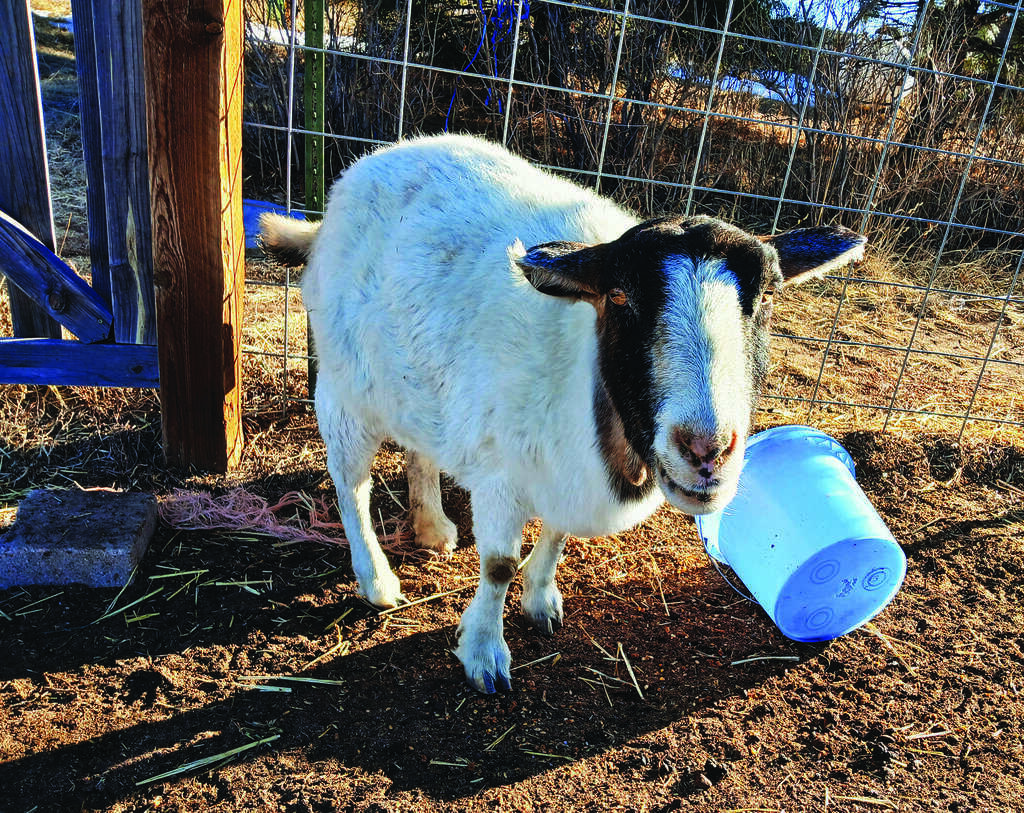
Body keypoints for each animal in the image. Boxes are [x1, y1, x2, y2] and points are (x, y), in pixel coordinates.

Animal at [261, 134, 866, 693]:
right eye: (619, 297)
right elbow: (497, 565)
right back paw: (377, 582)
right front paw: (484, 653)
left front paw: (541, 601)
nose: (706, 450)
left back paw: (432, 526)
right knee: (351, 486)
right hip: (343, 388)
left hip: (414, 384)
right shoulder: (504, 473)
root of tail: (361, 173)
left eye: (768, 297)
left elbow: (555, 538)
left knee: (418, 448)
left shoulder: (563, 475)